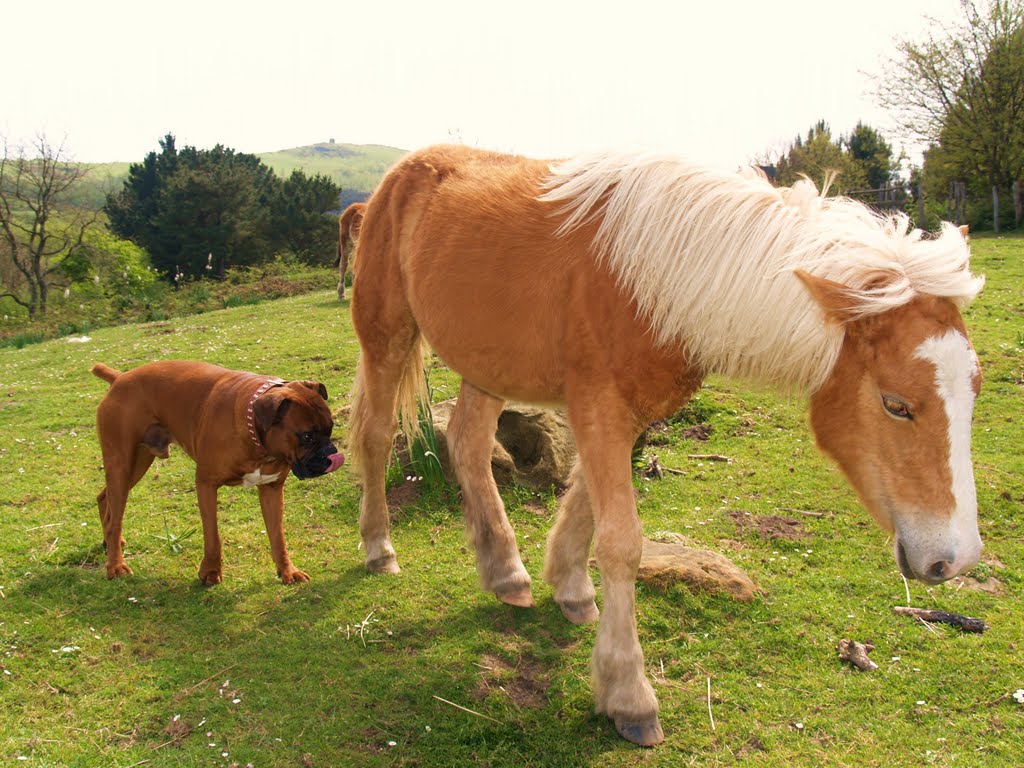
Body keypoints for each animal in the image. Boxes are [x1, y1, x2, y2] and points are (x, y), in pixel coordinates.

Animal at [91, 364, 344, 585]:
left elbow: (278, 537)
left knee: (104, 499)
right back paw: (115, 565)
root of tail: (121, 377)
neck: (257, 441)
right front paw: (211, 572)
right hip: (121, 463)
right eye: (307, 436)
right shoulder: (206, 484)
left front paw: (287, 571)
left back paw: (110, 543)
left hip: (137, 463)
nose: (333, 454)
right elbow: (213, 536)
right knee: (115, 517)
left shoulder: (271, 490)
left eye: (330, 428)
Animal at [350, 144, 983, 745]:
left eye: (973, 388)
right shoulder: (600, 407)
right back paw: (380, 549)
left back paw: (506, 573)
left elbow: (588, 504)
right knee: (377, 437)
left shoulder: (628, 413)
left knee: (469, 446)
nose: (952, 559)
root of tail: (402, 172)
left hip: (487, 367)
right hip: (387, 337)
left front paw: (570, 588)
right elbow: (622, 542)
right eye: (896, 405)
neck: (652, 278)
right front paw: (629, 696)